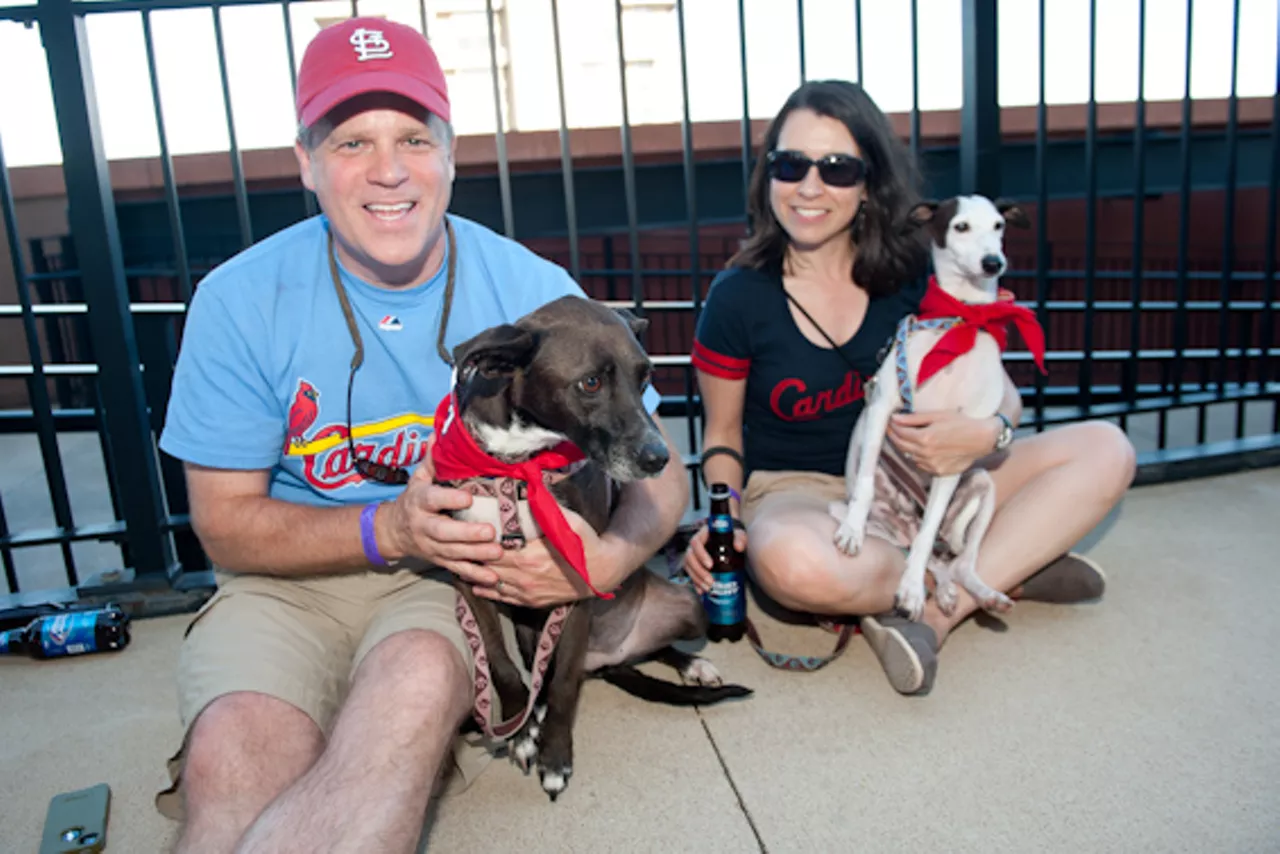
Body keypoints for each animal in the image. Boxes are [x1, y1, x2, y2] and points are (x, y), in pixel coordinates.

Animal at [829, 193, 1049, 622]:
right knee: (931, 554)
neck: (963, 315)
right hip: (860, 513)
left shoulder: (952, 450)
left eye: (999, 226)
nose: (993, 262)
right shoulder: (881, 408)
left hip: (981, 484)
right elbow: (864, 482)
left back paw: (977, 593)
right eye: (960, 226)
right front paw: (853, 531)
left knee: (951, 557)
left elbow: (929, 533)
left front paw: (912, 590)